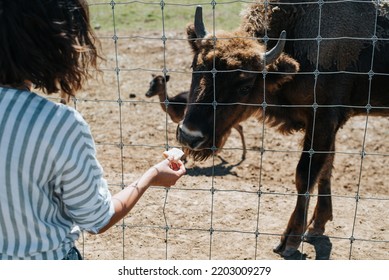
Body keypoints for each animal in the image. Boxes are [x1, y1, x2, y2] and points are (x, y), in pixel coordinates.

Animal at [176, 0, 388, 258]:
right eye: (195, 67)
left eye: (245, 86)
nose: (189, 135)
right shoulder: (326, 125)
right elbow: (325, 169)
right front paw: (317, 226)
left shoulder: (324, 119)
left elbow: (305, 175)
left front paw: (290, 241)